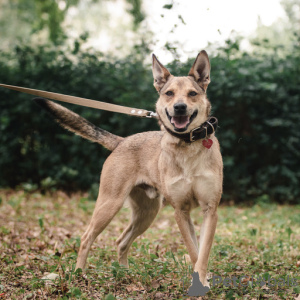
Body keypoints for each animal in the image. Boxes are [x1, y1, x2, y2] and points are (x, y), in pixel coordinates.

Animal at [34, 50, 223, 288]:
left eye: (192, 93)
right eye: (169, 93)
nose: (179, 107)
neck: (188, 144)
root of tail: (122, 141)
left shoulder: (210, 210)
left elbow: (202, 252)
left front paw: (203, 280)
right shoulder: (181, 211)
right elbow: (193, 250)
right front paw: (199, 282)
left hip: (147, 212)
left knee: (121, 241)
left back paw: (124, 274)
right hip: (110, 203)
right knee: (87, 237)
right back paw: (79, 273)